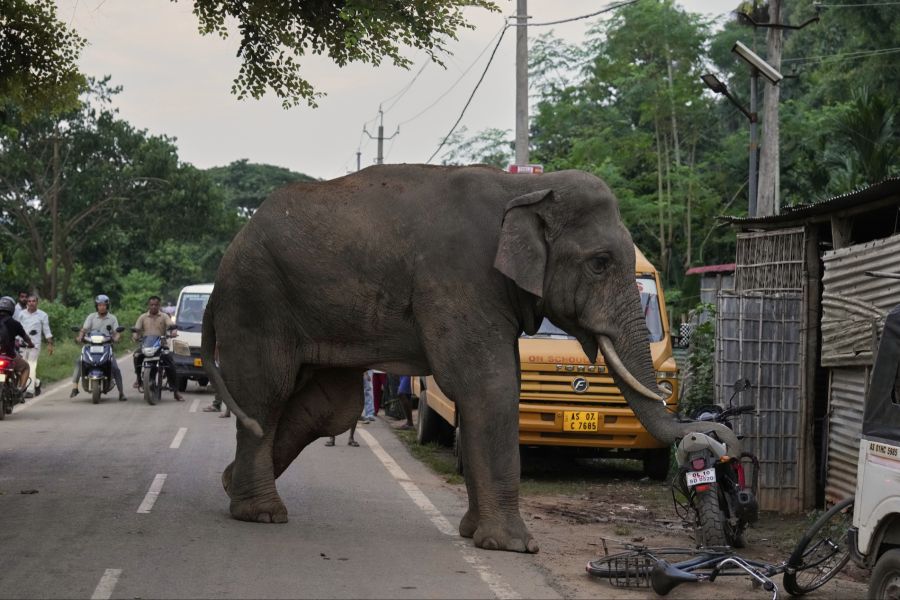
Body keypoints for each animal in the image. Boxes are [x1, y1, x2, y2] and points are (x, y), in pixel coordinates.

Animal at [201, 163, 738, 553]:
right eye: (600, 263)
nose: (713, 436)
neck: (525, 188)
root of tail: (223, 268)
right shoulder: (459, 278)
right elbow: (489, 386)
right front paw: (516, 547)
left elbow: (495, 388)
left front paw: (474, 534)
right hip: (258, 300)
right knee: (266, 396)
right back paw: (261, 513)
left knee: (327, 406)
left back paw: (228, 485)